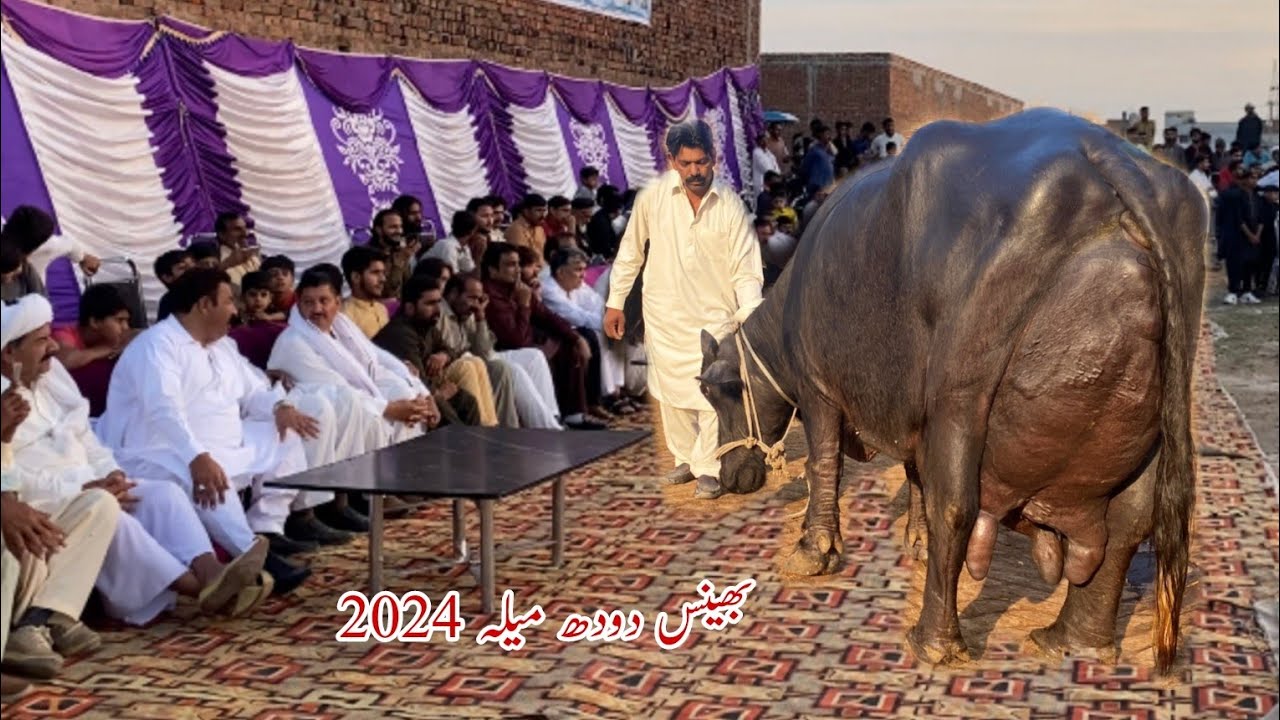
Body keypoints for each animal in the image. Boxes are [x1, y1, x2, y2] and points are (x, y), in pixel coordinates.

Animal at [696, 109, 1205, 674]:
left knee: (957, 507)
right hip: (1151, 418)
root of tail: (1104, 156)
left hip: (961, 399)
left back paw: (933, 642)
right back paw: (1072, 640)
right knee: (1127, 526)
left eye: (714, 392)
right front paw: (913, 541)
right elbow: (912, 473)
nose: (728, 475)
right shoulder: (908, 413)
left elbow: (824, 467)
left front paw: (813, 552)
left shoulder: (818, 391)